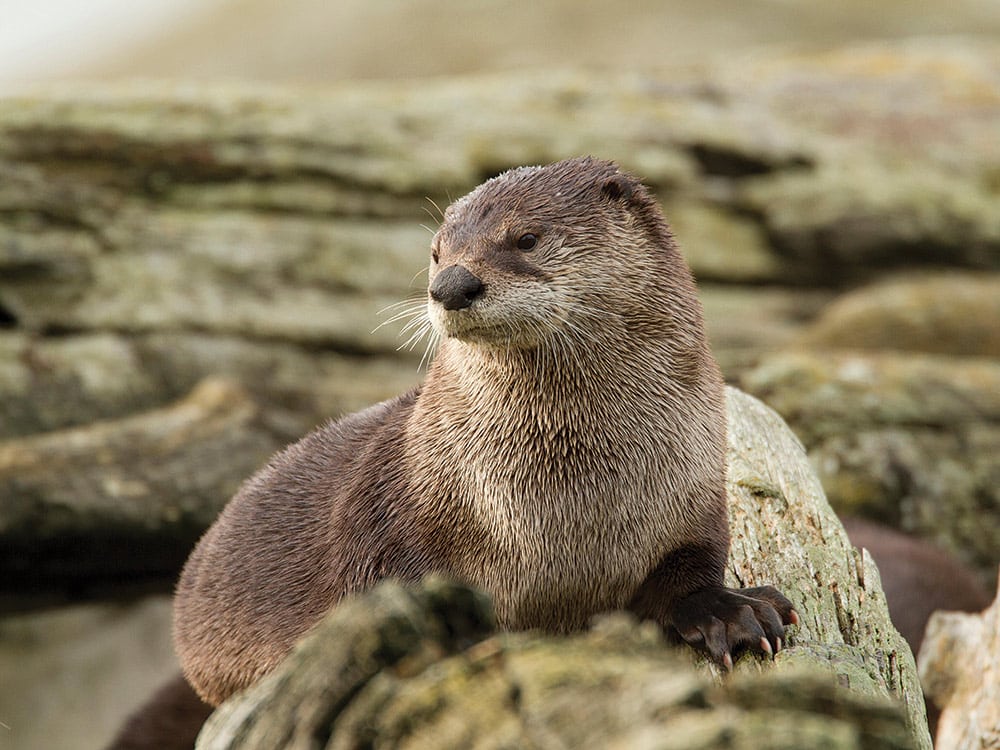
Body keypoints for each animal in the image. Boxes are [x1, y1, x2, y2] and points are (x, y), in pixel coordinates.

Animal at [170, 156, 796, 708]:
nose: (452, 284)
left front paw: (735, 610)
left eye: (526, 238)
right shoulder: (391, 521)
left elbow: (693, 569)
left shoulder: (695, 491)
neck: (574, 505)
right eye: (435, 252)